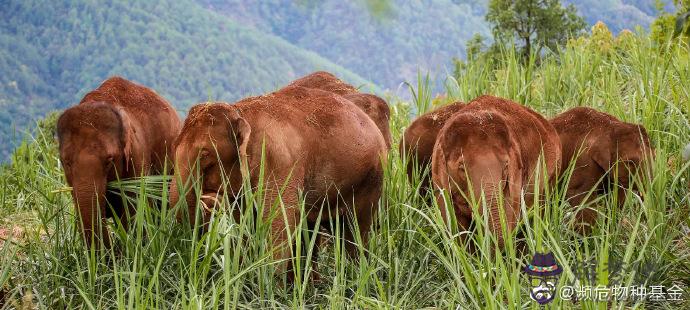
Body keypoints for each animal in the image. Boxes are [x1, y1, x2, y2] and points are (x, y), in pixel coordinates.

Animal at [168, 85, 388, 280]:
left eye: (205, 154)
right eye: (174, 145)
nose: (208, 200)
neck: (241, 112)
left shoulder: (279, 163)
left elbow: (277, 228)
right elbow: (247, 223)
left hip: (370, 180)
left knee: (354, 233)